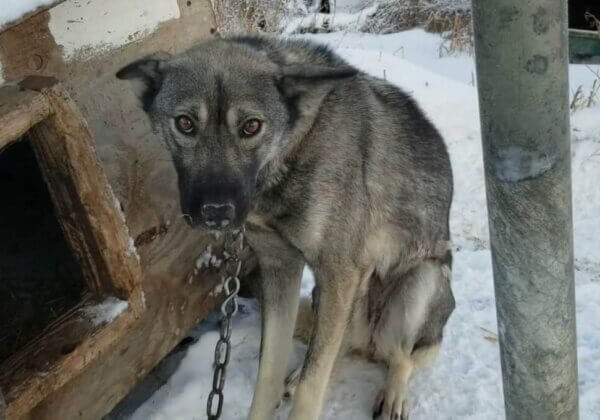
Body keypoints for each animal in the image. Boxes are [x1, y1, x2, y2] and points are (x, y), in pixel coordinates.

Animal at [117, 36, 454, 420]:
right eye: (185, 123)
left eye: (251, 126)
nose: (217, 213)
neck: (294, 144)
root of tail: (370, 341)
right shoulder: (281, 268)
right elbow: (269, 373)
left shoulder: (338, 271)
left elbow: (313, 385)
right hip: (331, 297)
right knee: (337, 347)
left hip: (420, 282)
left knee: (401, 357)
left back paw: (395, 393)